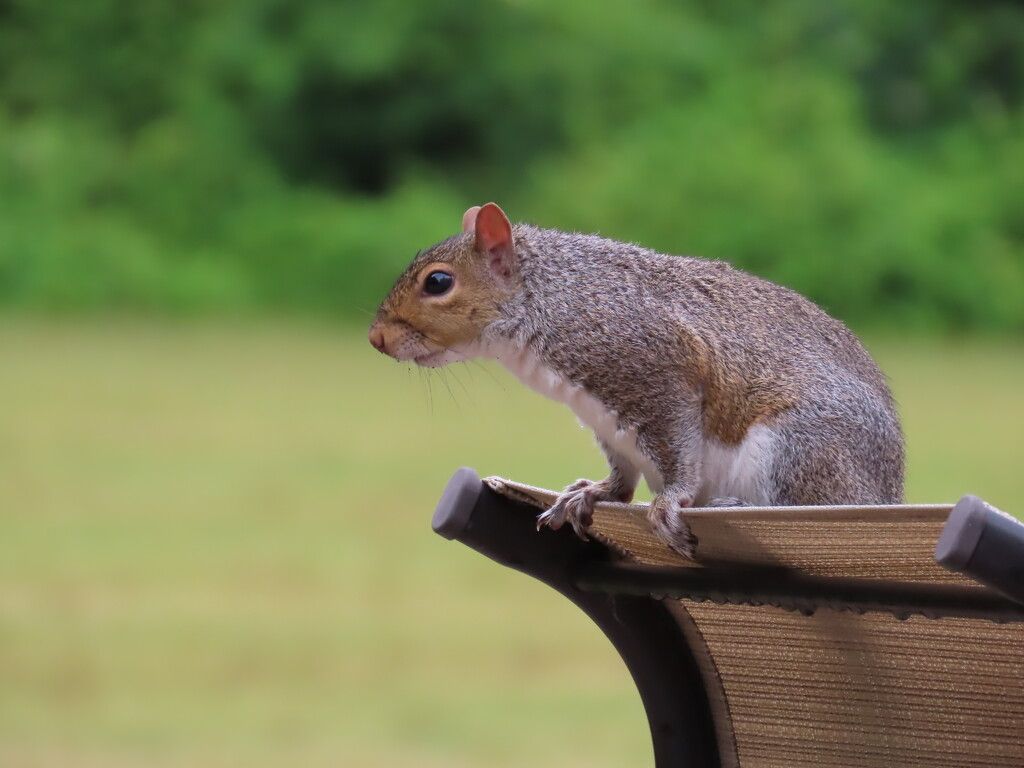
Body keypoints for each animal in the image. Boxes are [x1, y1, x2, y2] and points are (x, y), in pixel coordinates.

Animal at [368, 201, 905, 557]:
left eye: (438, 282)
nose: (376, 338)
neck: (550, 300)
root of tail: (888, 494)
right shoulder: (605, 419)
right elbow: (623, 475)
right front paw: (594, 493)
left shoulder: (657, 370)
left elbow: (677, 447)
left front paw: (670, 501)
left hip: (804, 445)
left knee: (809, 502)